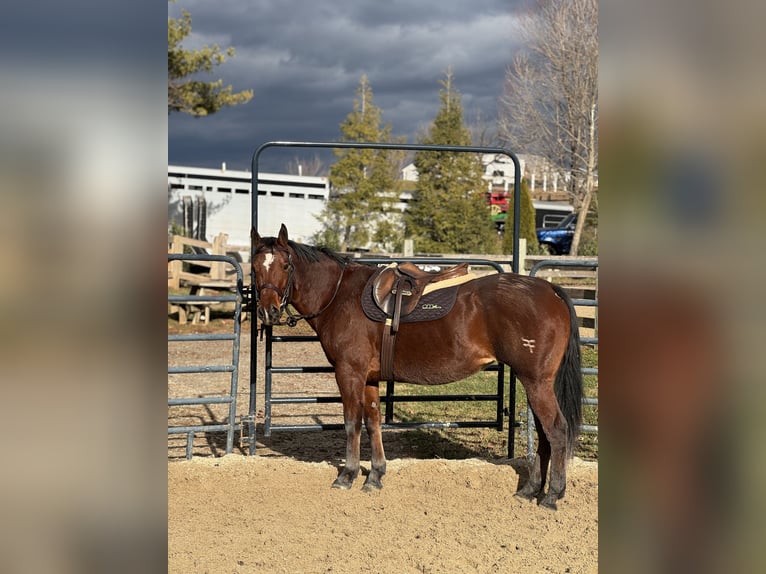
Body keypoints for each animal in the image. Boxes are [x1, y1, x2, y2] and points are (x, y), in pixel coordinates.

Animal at [252, 225, 584, 512]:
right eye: (255, 268)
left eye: (285, 265)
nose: (268, 312)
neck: (339, 294)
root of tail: (550, 290)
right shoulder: (369, 378)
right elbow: (373, 422)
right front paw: (375, 476)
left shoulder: (349, 373)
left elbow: (351, 424)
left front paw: (347, 475)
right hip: (535, 383)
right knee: (544, 433)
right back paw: (530, 490)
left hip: (537, 382)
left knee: (556, 430)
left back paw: (551, 495)